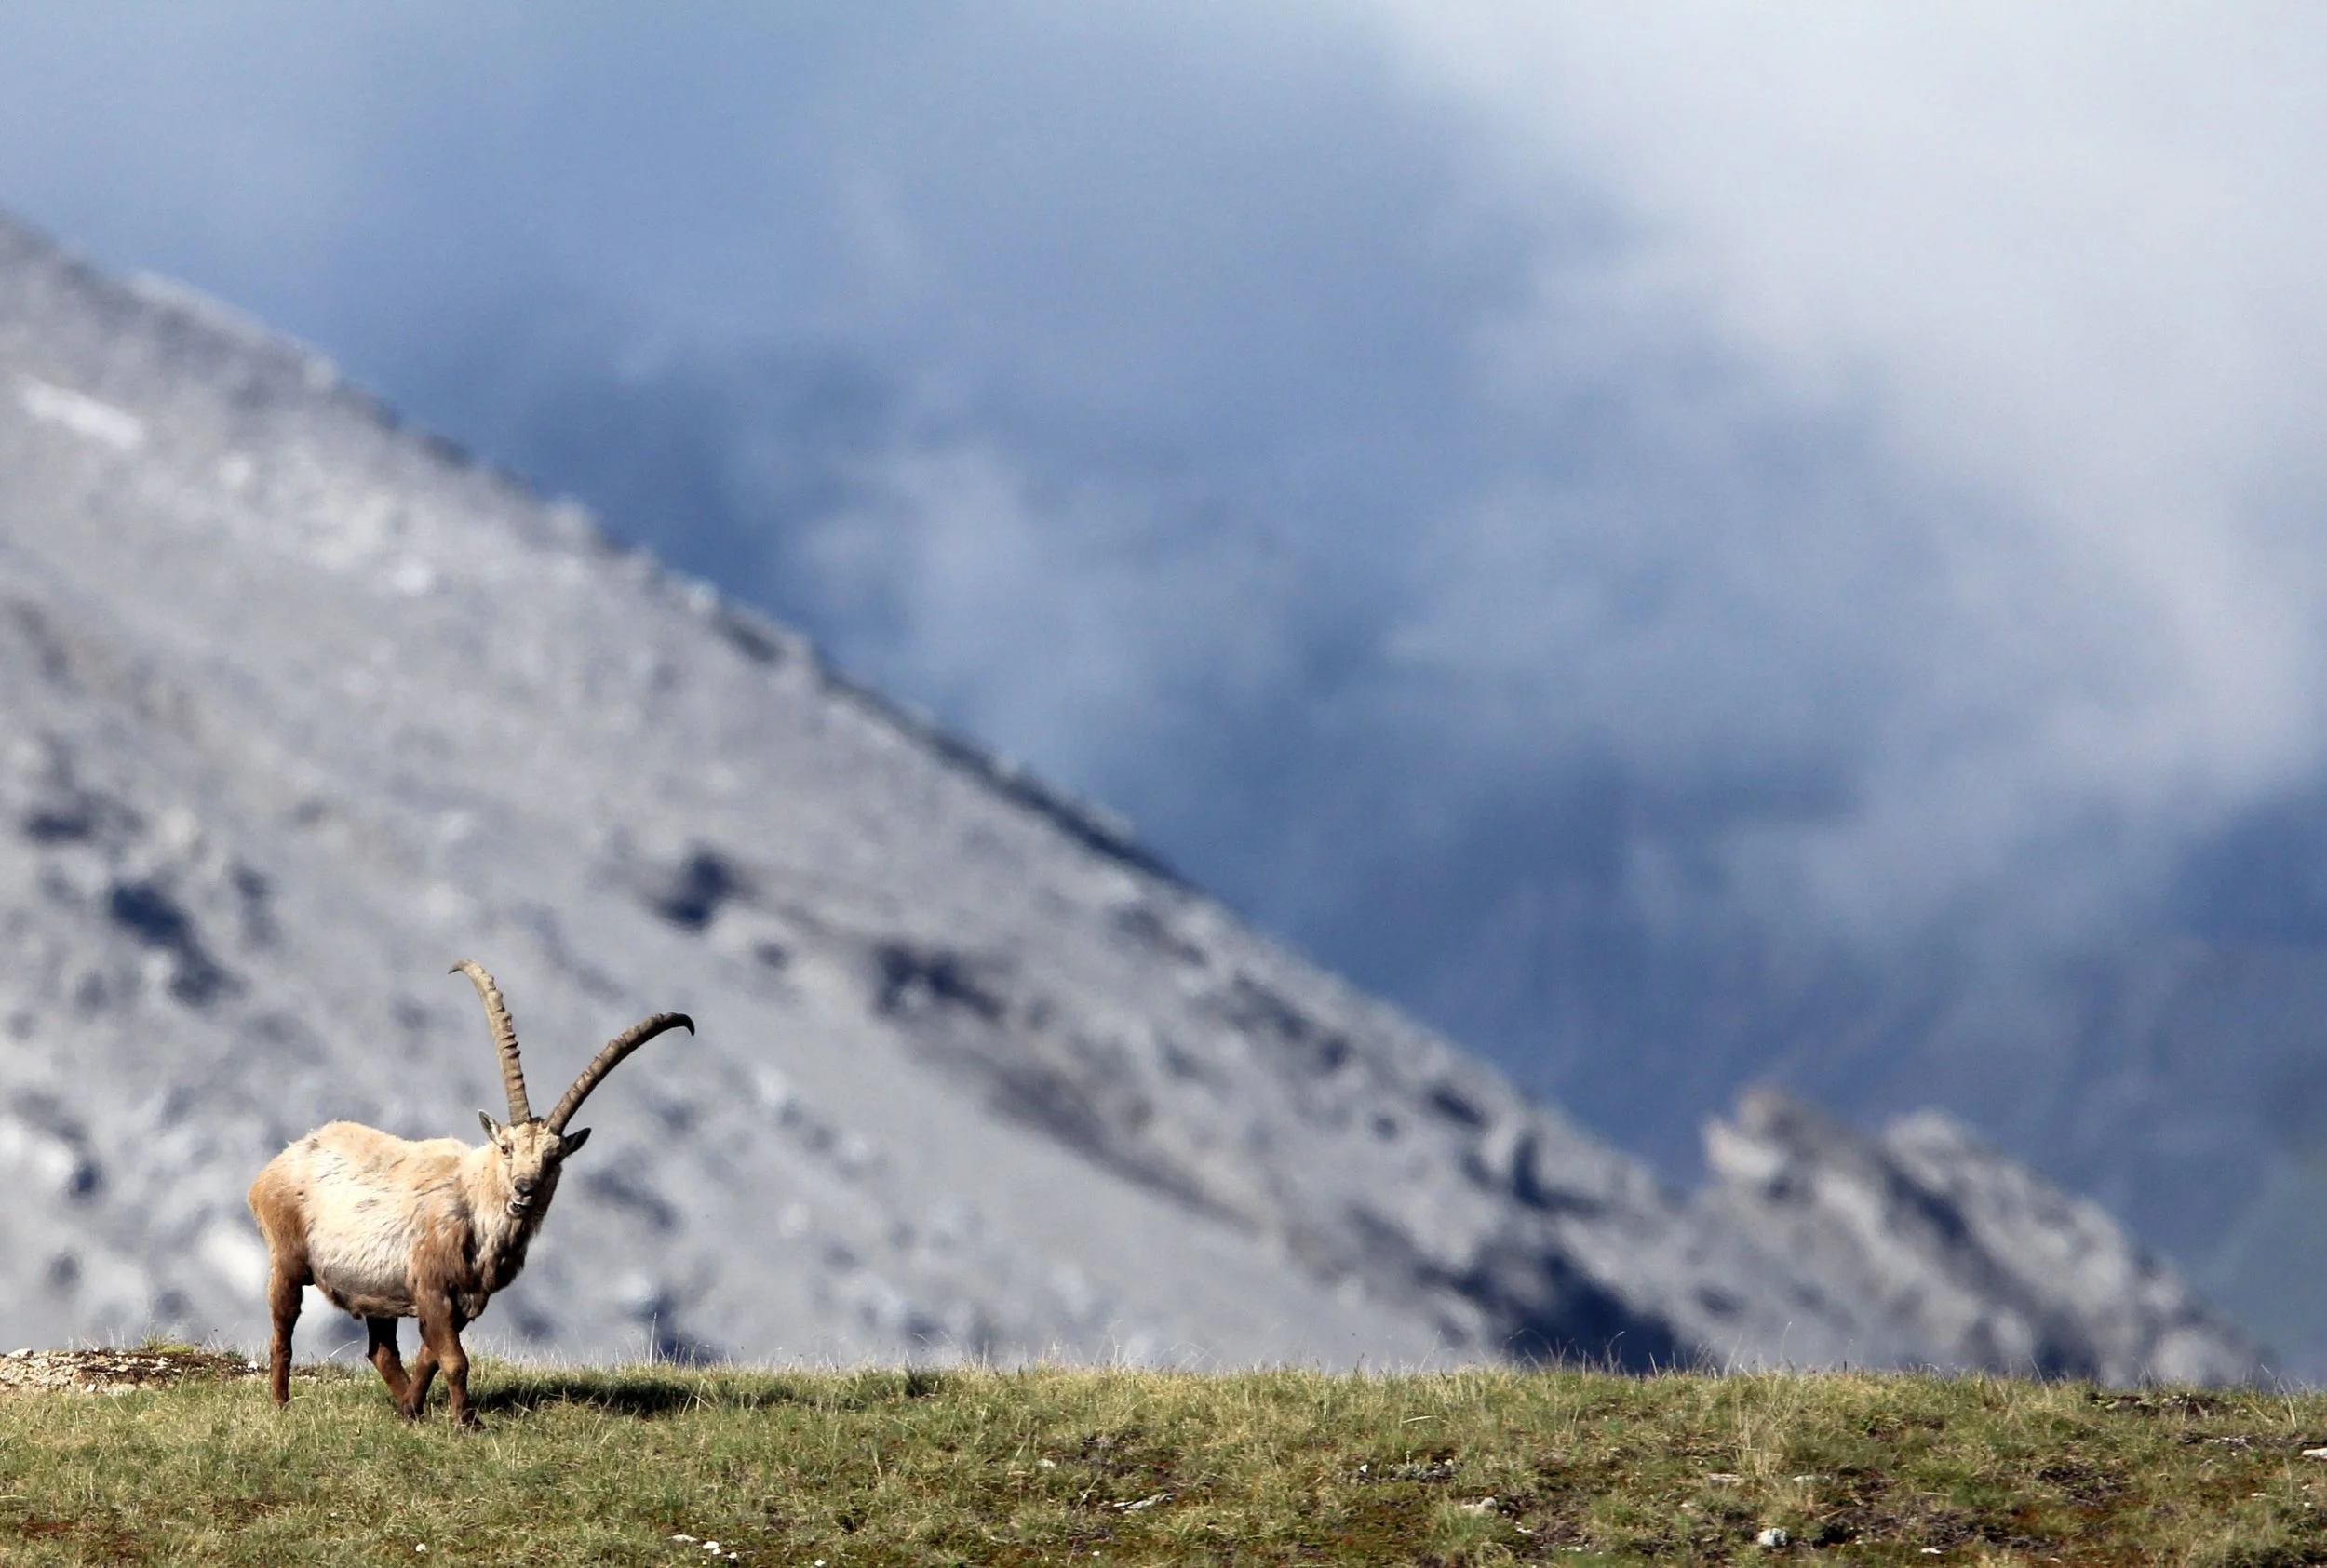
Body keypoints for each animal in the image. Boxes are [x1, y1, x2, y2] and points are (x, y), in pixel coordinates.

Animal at [247, 961, 692, 1424]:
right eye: (506, 1147)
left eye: (554, 1158)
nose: (524, 1191)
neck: (475, 1204)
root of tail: (282, 1160)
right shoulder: (431, 1287)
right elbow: (454, 1360)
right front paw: (466, 1422)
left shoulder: (458, 1300)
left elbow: (430, 1356)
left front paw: (416, 1410)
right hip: (288, 1258)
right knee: (283, 1331)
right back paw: (280, 1404)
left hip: (378, 1293)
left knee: (381, 1351)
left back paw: (404, 1406)